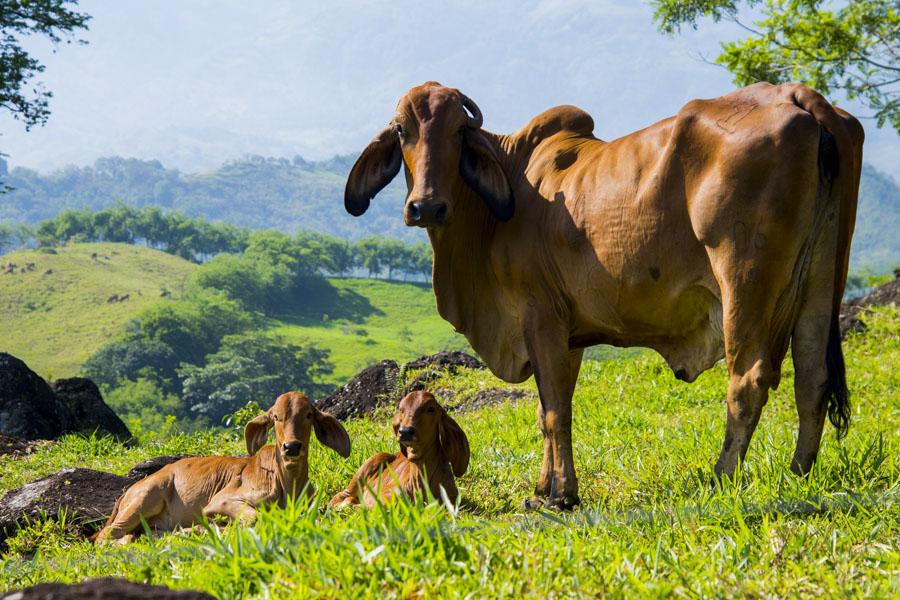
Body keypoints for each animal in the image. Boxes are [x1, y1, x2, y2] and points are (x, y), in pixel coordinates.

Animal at [94, 392, 348, 548]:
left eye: (309, 415)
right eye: (276, 417)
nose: (292, 447)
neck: (287, 483)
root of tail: (128, 491)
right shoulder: (219, 502)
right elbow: (252, 517)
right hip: (147, 497)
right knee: (104, 536)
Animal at [346, 81, 864, 510]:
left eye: (458, 131)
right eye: (402, 129)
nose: (426, 206)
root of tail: (797, 95)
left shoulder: (540, 317)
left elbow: (555, 412)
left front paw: (561, 496)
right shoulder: (568, 333)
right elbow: (548, 409)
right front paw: (543, 488)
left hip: (745, 282)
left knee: (749, 381)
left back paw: (721, 478)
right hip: (821, 280)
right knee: (812, 380)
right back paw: (799, 474)